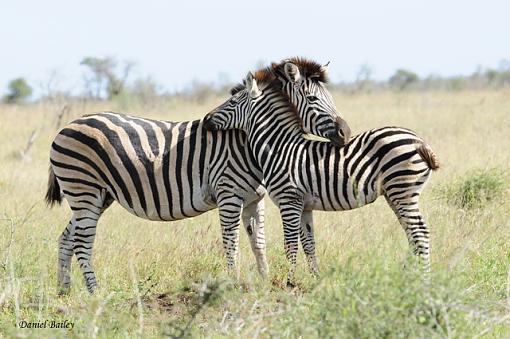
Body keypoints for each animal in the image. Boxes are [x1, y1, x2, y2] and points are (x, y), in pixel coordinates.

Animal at [44, 57, 350, 294]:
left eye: (332, 97)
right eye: (313, 99)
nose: (346, 132)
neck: (248, 144)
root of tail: (67, 126)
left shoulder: (255, 199)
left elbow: (258, 242)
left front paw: (265, 284)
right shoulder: (229, 195)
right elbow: (231, 243)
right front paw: (233, 284)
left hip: (96, 197)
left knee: (67, 238)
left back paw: (64, 291)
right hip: (84, 190)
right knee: (82, 242)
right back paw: (95, 293)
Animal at [202, 70, 438, 286]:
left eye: (232, 101)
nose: (205, 120)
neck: (279, 149)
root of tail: (419, 140)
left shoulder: (289, 201)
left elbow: (290, 244)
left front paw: (290, 282)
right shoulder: (305, 206)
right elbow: (308, 243)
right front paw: (315, 278)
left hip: (403, 190)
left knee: (420, 232)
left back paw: (424, 279)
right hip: (395, 194)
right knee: (412, 232)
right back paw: (410, 275)